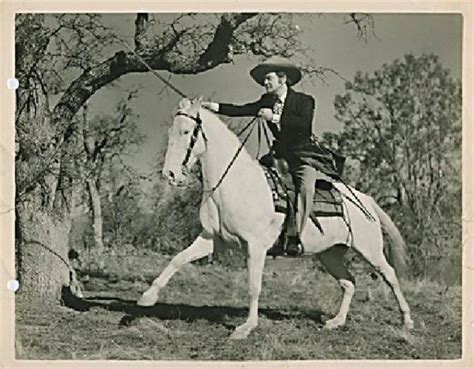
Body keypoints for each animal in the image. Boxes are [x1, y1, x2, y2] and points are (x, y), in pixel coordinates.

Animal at [136, 96, 412, 338]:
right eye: (171, 131)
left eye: (186, 132)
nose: (171, 174)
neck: (236, 183)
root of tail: (366, 200)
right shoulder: (212, 239)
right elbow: (178, 259)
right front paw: (148, 297)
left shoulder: (255, 247)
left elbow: (253, 287)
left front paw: (246, 328)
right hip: (330, 254)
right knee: (349, 282)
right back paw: (336, 321)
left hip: (370, 250)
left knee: (390, 276)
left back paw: (407, 320)